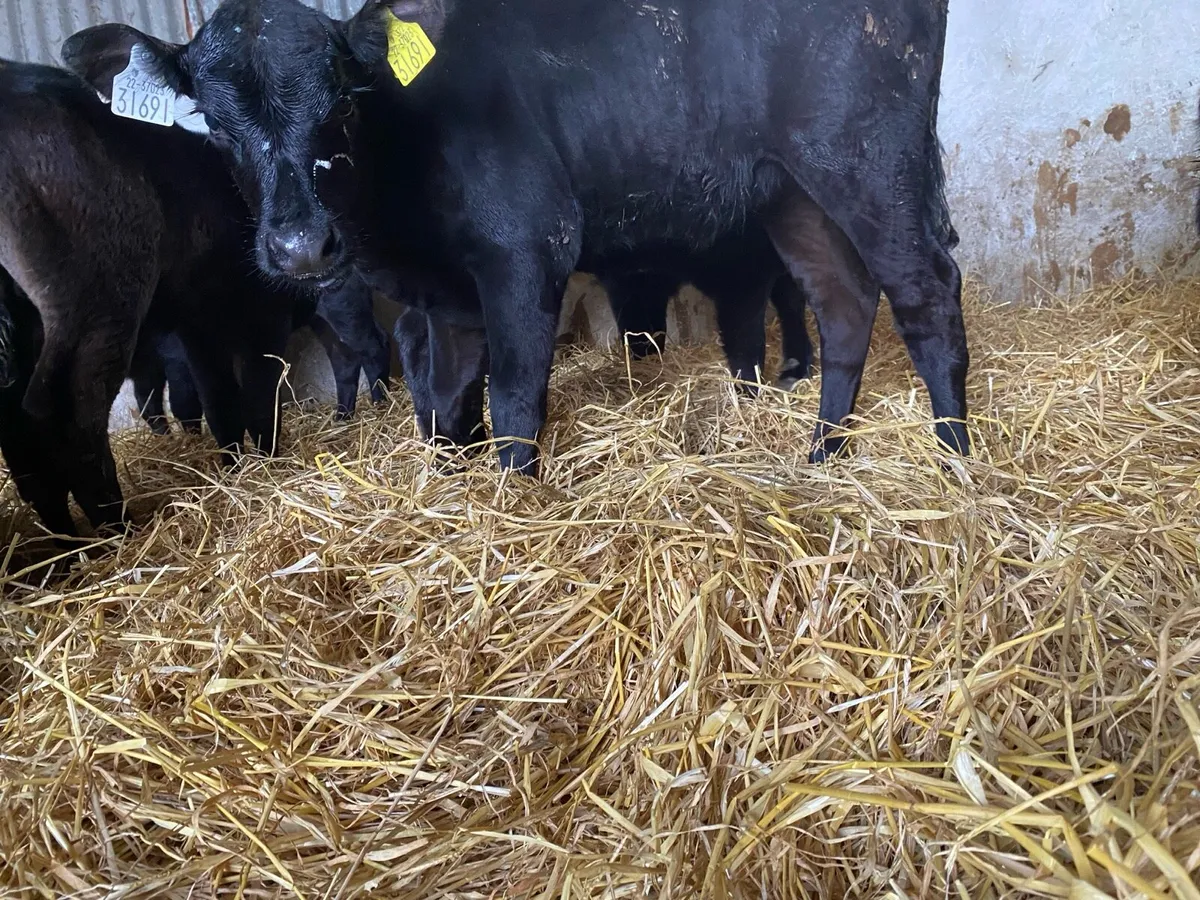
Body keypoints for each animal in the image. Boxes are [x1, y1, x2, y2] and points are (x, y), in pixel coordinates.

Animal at [0, 59, 305, 538]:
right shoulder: (263, 313)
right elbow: (260, 395)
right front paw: (270, 461)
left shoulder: (198, 323)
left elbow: (220, 401)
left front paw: (235, 468)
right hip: (98, 296)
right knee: (68, 413)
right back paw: (116, 532)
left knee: (22, 438)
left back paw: (66, 540)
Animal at [65, 0, 968, 476]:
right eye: (213, 123)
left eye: (342, 102)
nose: (298, 247)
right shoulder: (449, 298)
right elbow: (446, 398)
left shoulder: (528, 248)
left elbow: (513, 399)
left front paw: (512, 495)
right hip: (793, 190)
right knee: (843, 302)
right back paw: (823, 454)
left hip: (867, 158)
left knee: (926, 293)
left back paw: (956, 456)